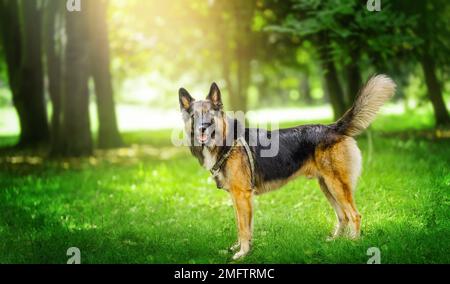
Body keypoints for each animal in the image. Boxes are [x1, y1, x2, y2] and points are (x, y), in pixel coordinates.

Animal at [178, 74, 396, 260]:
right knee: (343, 216)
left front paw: (242, 253)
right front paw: (241, 247)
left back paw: (353, 243)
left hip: (337, 186)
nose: (203, 128)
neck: (227, 142)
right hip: (326, 186)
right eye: (194, 116)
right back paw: (335, 241)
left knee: (354, 215)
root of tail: (332, 127)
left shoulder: (242, 195)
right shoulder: (237, 197)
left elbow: (243, 228)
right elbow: (242, 225)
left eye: (209, 114)